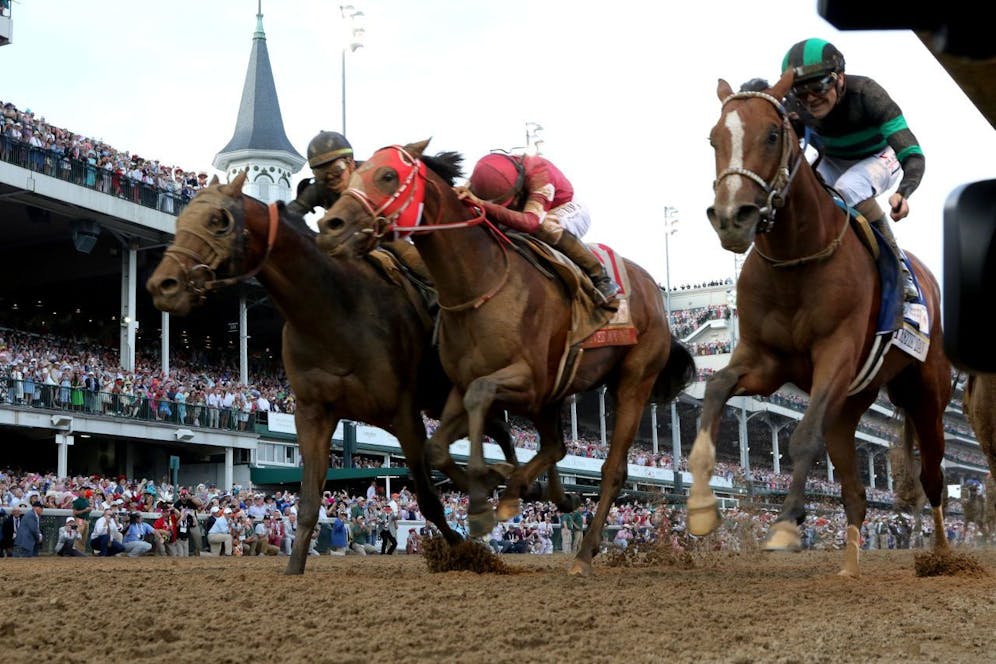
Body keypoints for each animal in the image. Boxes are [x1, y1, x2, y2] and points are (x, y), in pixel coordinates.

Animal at [147, 171, 512, 576]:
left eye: (218, 220)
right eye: (182, 220)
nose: (163, 285)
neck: (335, 313)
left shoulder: (404, 415)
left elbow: (429, 498)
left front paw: (468, 552)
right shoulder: (313, 414)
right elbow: (308, 504)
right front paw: (294, 569)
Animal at [316, 140, 696, 576]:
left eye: (387, 175)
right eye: (354, 174)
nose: (331, 225)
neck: (478, 282)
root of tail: (654, 291)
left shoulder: (528, 381)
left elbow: (482, 396)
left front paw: (485, 494)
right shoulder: (461, 384)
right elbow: (437, 448)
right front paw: (493, 484)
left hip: (633, 380)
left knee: (612, 469)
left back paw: (583, 552)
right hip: (558, 392)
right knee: (556, 447)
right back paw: (539, 494)